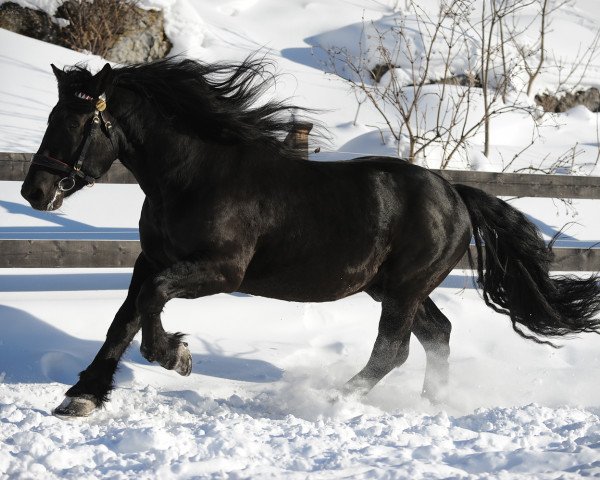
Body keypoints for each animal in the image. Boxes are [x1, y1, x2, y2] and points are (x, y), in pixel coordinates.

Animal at [21, 57, 600, 416]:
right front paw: (82, 396)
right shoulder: (150, 258)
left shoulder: (220, 271)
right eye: (51, 116)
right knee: (437, 334)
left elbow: (151, 302)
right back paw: (431, 402)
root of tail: (454, 192)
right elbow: (125, 317)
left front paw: (175, 356)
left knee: (392, 350)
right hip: (394, 288)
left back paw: (331, 398)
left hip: (405, 288)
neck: (193, 175)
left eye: (75, 124)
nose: (34, 190)